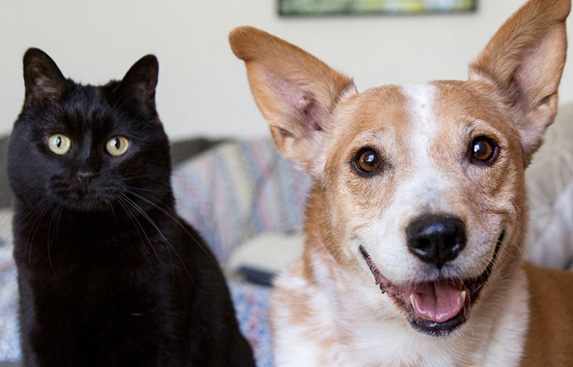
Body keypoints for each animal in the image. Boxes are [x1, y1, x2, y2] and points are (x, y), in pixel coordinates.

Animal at [7, 49, 255, 367]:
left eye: (117, 145)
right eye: (58, 142)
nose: (86, 174)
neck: (88, 241)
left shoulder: (159, 321)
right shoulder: (38, 319)